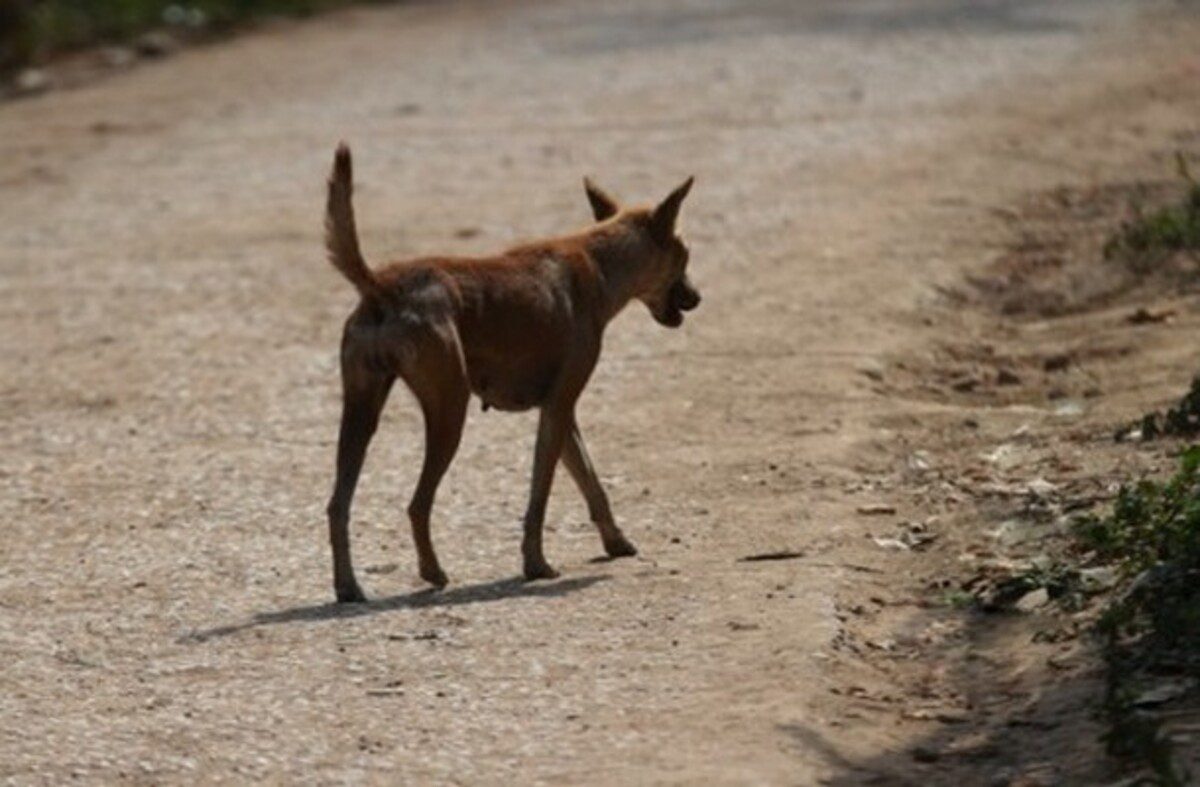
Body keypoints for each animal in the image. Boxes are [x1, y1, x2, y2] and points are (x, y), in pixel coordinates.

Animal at [324, 144, 700, 602]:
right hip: (449, 411)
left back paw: (348, 586)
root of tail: (382, 285)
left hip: (360, 413)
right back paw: (432, 572)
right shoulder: (558, 407)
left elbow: (590, 481)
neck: (598, 262)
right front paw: (535, 564)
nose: (697, 297)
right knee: (417, 504)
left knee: (338, 505)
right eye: (685, 256)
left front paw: (615, 540)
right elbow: (539, 497)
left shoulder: (560, 413)